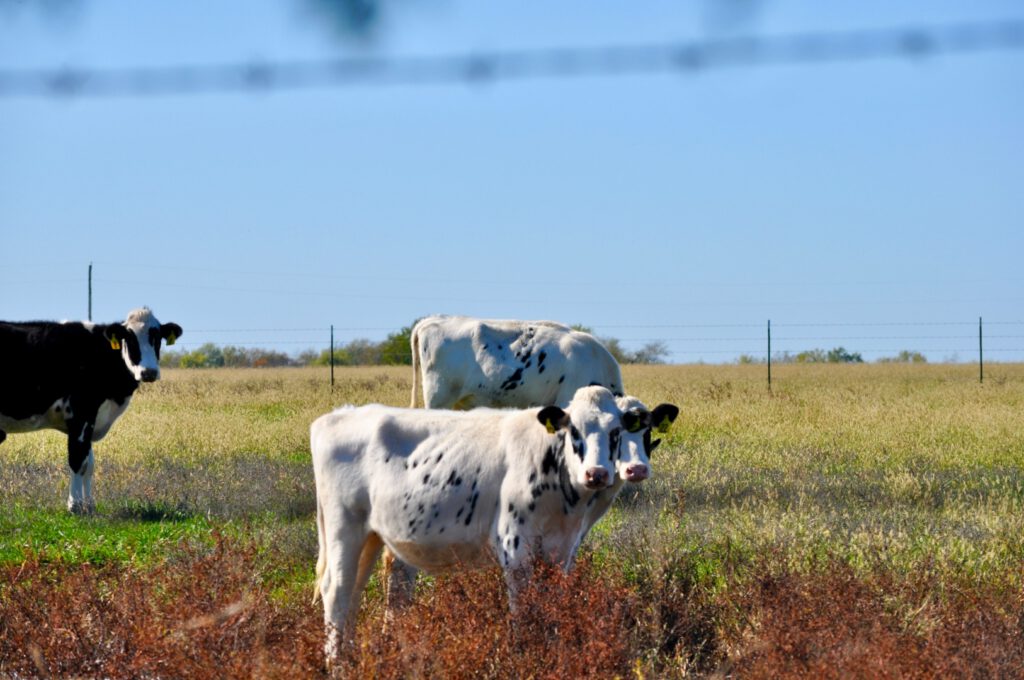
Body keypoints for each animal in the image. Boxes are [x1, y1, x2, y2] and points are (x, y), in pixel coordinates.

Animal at [0, 307, 183, 514]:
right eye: (129, 338)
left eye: (157, 337)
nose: (149, 372)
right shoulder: (81, 412)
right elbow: (78, 459)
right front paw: (75, 505)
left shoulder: (92, 417)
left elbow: (89, 463)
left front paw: (89, 505)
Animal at [311, 385, 630, 662]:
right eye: (574, 430)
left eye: (616, 432)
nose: (597, 473)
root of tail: (338, 415)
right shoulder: (515, 547)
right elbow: (523, 608)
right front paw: (524, 654)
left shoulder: (561, 550)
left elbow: (552, 603)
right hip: (343, 526)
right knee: (336, 591)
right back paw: (336, 663)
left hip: (371, 535)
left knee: (354, 591)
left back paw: (350, 656)